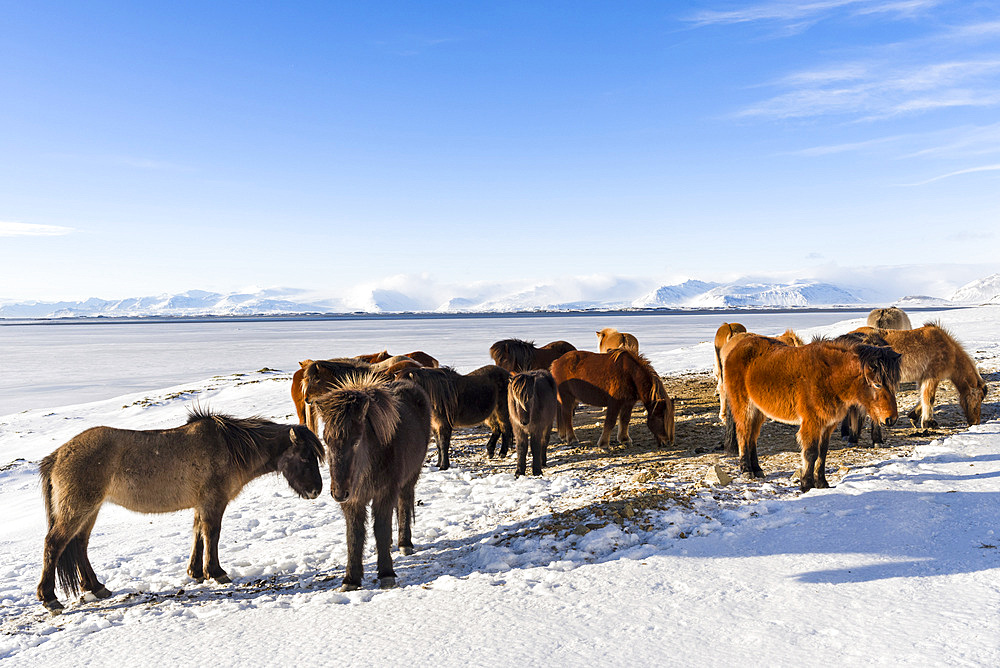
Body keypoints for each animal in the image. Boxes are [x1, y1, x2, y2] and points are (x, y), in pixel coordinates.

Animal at [35, 408, 322, 612]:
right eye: (305, 456)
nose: (316, 491)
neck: (229, 447)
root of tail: (57, 456)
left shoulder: (201, 503)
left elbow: (197, 533)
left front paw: (196, 572)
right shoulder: (214, 502)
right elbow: (212, 534)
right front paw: (216, 572)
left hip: (90, 510)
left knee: (79, 545)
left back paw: (96, 587)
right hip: (78, 509)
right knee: (55, 544)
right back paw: (50, 599)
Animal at [312, 376, 430, 588]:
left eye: (356, 441)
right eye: (326, 440)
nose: (338, 493)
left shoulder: (384, 494)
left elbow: (381, 529)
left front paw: (386, 574)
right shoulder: (352, 501)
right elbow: (354, 535)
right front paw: (351, 579)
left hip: (410, 478)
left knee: (404, 505)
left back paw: (404, 544)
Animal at [724, 334, 904, 490]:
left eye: (894, 383)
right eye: (877, 384)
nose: (891, 419)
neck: (828, 377)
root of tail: (736, 348)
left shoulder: (828, 425)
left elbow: (822, 453)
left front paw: (822, 483)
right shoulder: (812, 423)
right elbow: (811, 452)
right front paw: (806, 485)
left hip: (758, 411)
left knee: (752, 437)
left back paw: (757, 469)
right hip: (744, 408)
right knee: (743, 435)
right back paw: (746, 470)